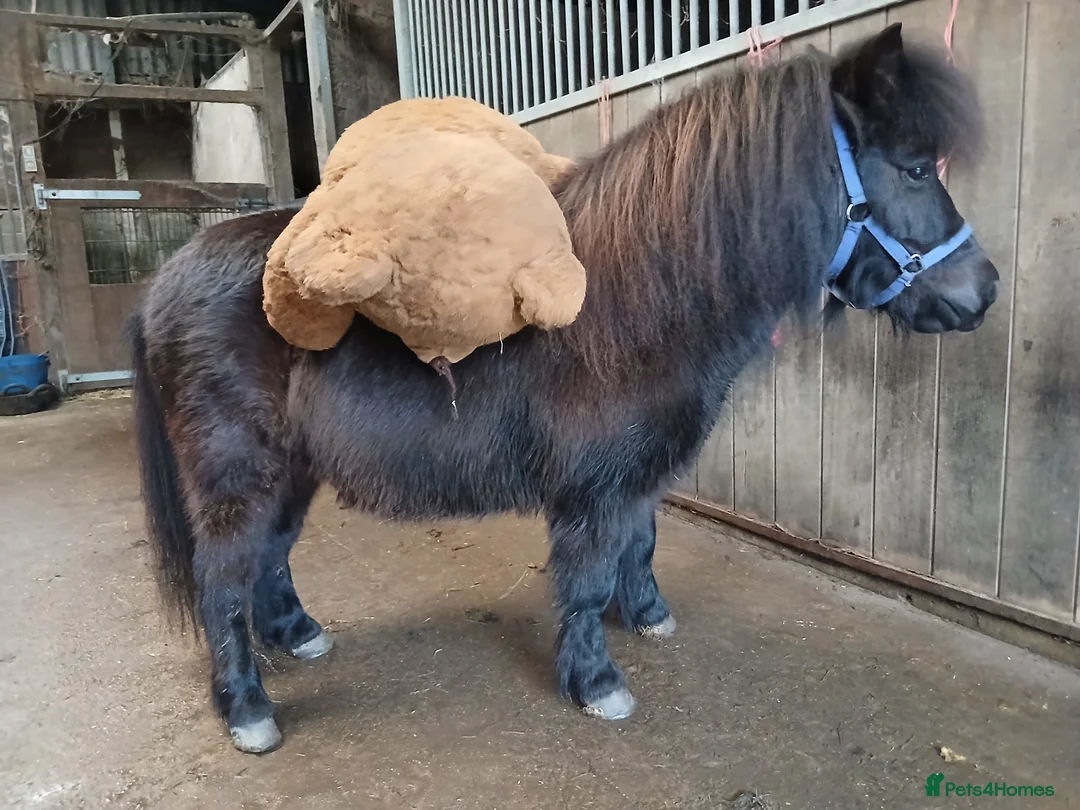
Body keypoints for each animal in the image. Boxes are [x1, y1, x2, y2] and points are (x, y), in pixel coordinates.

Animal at [130, 23, 999, 753]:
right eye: (914, 168)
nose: (984, 291)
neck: (639, 298)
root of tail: (166, 278)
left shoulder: (639, 475)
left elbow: (639, 544)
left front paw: (646, 616)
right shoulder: (590, 488)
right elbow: (584, 581)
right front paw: (597, 683)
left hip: (292, 471)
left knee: (268, 560)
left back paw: (297, 635)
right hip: (236, 472)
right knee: (222, 582)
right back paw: (247, 710)